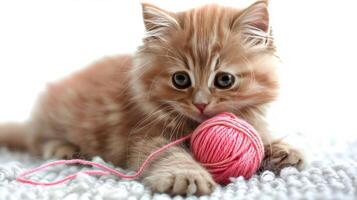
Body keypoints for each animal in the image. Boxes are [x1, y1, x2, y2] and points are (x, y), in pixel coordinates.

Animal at [0, 0, 304, 196]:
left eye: (224, 80)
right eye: (180, 79)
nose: (201, 104)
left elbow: (259, 135)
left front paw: (282, 150)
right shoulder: (147, 138)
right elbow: (169, 155)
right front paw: (187, 176)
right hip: (51, 119)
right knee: (37, 139)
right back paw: (63, 149)